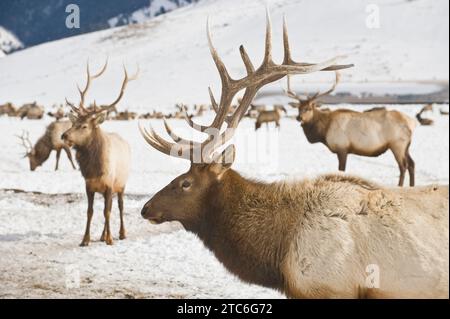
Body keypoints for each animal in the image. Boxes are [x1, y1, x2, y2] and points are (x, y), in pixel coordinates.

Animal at [62, 60, 137, 248]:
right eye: (74, 123)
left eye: (84, 126)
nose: (64, 135)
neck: (94, 169)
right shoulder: (89, 185)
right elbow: (90, 212)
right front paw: (85, 239)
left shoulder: (109, 185)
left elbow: (107, 212)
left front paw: (110, 239)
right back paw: (102, 235)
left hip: (122, 184)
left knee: (119, 206)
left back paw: (121, 233)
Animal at [286, 72, 416, 188]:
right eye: (298, 108)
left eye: (308, 108)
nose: (299, 118)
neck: (324, 130)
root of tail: (411, 122)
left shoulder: (342, 148)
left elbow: (341, 170)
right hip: (406, 146)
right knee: (412, 164)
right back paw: (412, 186)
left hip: (397, 144)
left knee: (403, 166)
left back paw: (400, 186)